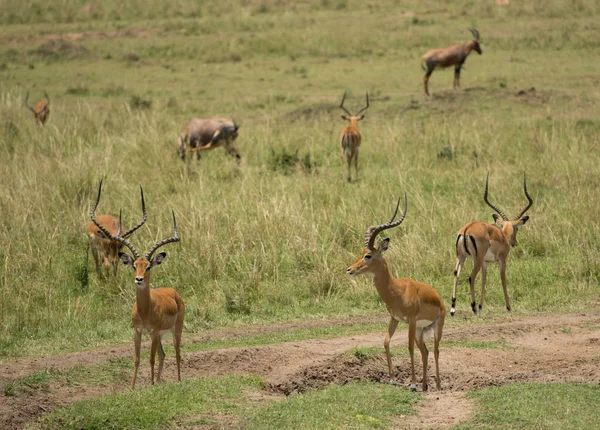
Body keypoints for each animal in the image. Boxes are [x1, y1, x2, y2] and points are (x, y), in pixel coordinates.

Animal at [346, 195, 446, 394]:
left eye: (368, 255)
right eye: (361, 253)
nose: (350, 269)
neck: (397, 290)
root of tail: (440, 299)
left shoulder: (411, 321)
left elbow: (408, 348)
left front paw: (412, 384)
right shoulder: (395, 318)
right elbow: (385, 341)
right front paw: (392, 379)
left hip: (436, 326)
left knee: (436, 350)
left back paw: (436, 386)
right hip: (421, 330)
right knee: (426, 352)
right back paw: (425, 386)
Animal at [450, 173, 536, 318]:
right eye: (517, 228)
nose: (515, 243)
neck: (503, 236)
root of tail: (467, 229)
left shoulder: (485, 263)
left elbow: (484, 280)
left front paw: (481, 307)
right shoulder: (502, 260)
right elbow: (503, 279)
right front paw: (508, 307)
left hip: (461, 257)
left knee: (456, 274)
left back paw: (453, 309)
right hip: (476, 260)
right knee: (471, 277)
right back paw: (473, 308)